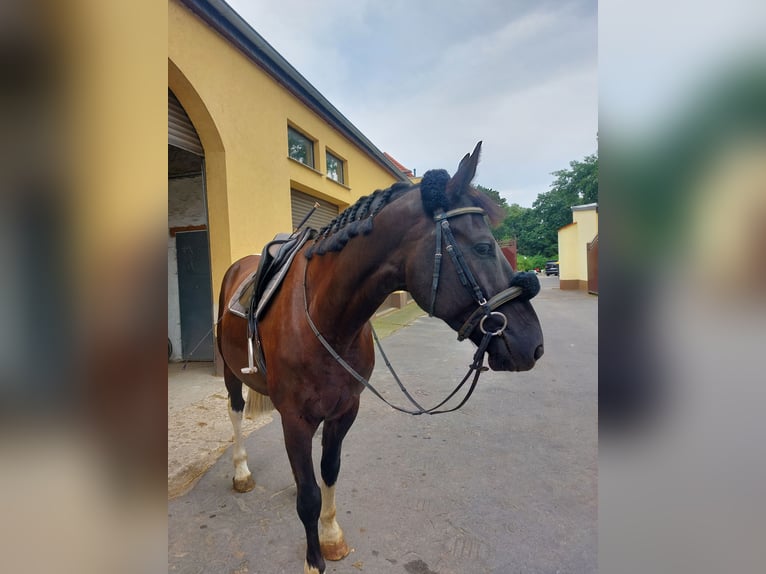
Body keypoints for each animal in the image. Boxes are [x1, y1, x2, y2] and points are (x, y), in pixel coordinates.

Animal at [214, 144, 544, 574]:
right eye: (484, 247)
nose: (533, 344)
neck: (325, 318)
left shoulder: (344, 409)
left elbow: (328, 473)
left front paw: (332, 538)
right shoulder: (296, 418)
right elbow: (309, 496)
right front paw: (314, 560)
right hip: (230, 372)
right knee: (236, 414)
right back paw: (240, 471)